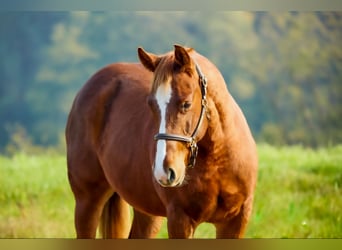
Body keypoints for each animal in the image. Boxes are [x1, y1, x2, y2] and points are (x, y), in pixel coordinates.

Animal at [65, 45, 258, 238]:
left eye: (186, 104)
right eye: (151, 105)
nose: (164, 171)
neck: (217, 159)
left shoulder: (236, 221)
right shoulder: (180, 219)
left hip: (147, 211)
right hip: (87, 201)